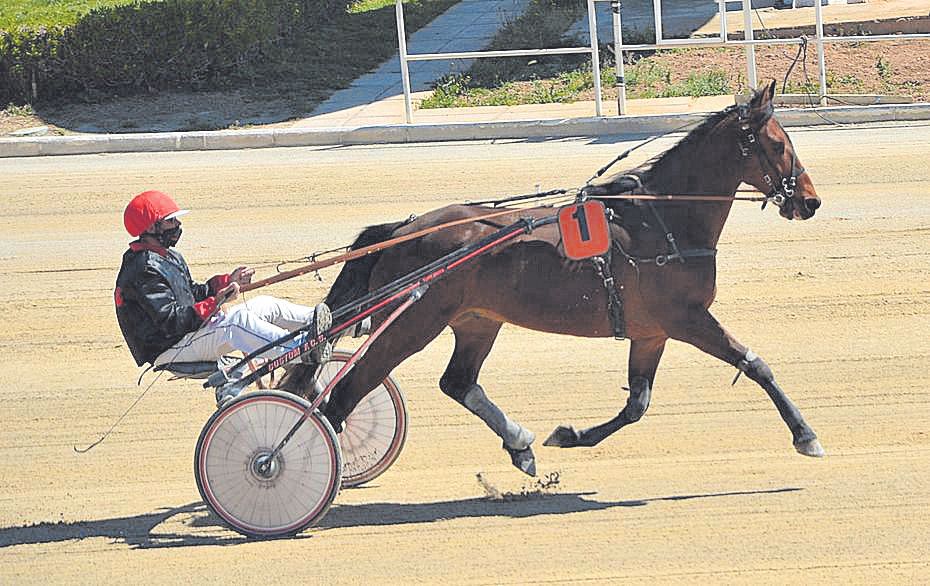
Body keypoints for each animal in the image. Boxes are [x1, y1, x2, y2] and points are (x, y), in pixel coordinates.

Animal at [286, 81, 824, 474]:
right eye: (778, 144)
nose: (810, 201)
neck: (663, 220)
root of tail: (402, 230)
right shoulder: (686, 318)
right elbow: (756, 365)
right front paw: (806, 434)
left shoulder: (651, 331)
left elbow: (637, 403)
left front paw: (570, 435)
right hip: (411, 324)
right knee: (344, 396)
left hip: (476, 321)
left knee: (457, 383)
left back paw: (518, 443)